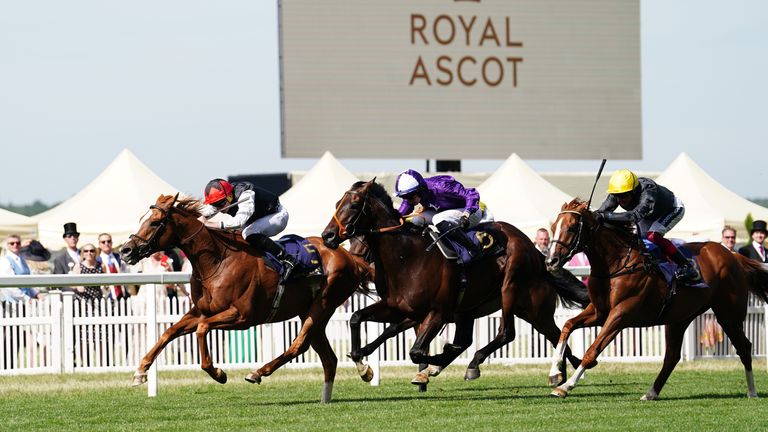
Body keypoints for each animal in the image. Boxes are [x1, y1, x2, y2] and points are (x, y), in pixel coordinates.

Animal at [121, 194, 368, 404]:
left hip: (323, 304)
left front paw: (218, 373)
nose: (126, 250)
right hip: (310, 311)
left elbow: (202, 329)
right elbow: (168, 332)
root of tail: (349, 256)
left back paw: (257, 372)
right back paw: (337, 391)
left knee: (299, 345)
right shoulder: (201, 311)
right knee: (327, 357)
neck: (216, 261)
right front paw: (140, 372)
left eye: (155, 223)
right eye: (142, 219)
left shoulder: (242, 317)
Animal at [320, 181, 588, 384]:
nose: (328, 236)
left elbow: (417, 351)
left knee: (506, 333)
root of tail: (538, 254)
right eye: (336, 204)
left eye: (354, 205)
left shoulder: (437, 312)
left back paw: (474, 363)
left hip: (511, 290)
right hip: (526, 311)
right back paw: (562, 373)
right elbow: (358, 319)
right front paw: (363, 365)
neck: (406, 256)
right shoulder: (398, 307)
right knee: (555, 335)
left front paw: (431, 366)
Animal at [544, 197, 768, 400]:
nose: (551, 260)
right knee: (672, 356)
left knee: (744, 347)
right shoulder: (599, 311)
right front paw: (555, 374)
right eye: (554, 227)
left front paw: (566, 386)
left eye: (571, 228)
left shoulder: (620, 314)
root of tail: (733, 255)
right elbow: (567, 326)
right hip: (680, 318)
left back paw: (752, 392)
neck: (617, 263)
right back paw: (651, 393)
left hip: (728, 315)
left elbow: (593, 350)